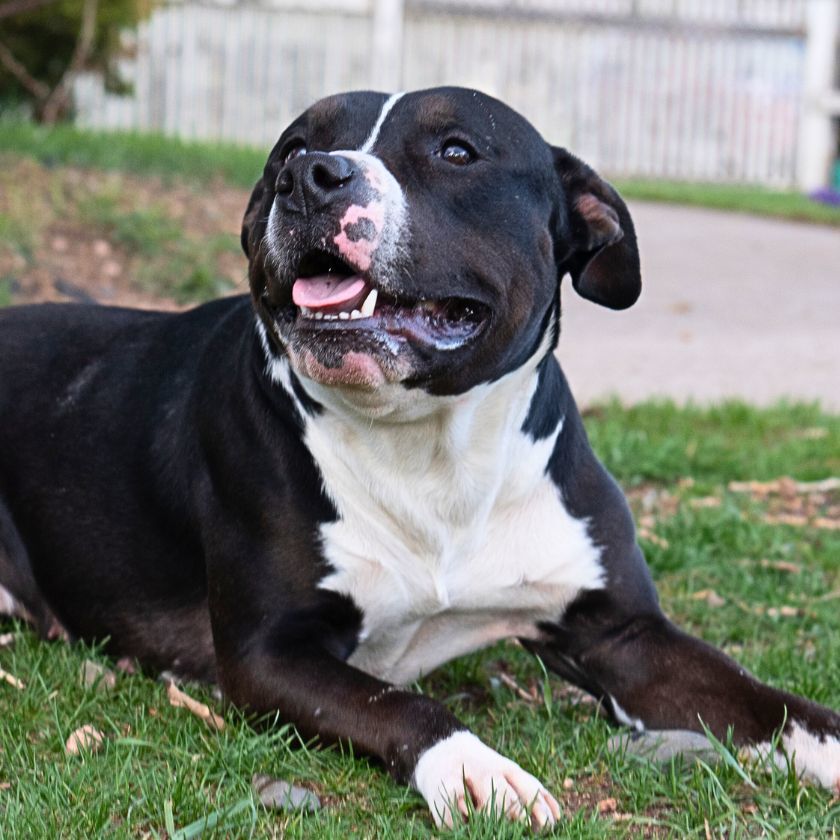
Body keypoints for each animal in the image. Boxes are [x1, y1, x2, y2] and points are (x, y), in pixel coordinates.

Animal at [0, 88, 836, 832]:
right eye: (290, 148)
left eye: (457, 151)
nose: (308, 177)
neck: (432, 451)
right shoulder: (269, 653)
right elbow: (401, 702)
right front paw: (475, 769)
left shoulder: (623, 635)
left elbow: (761, 698)